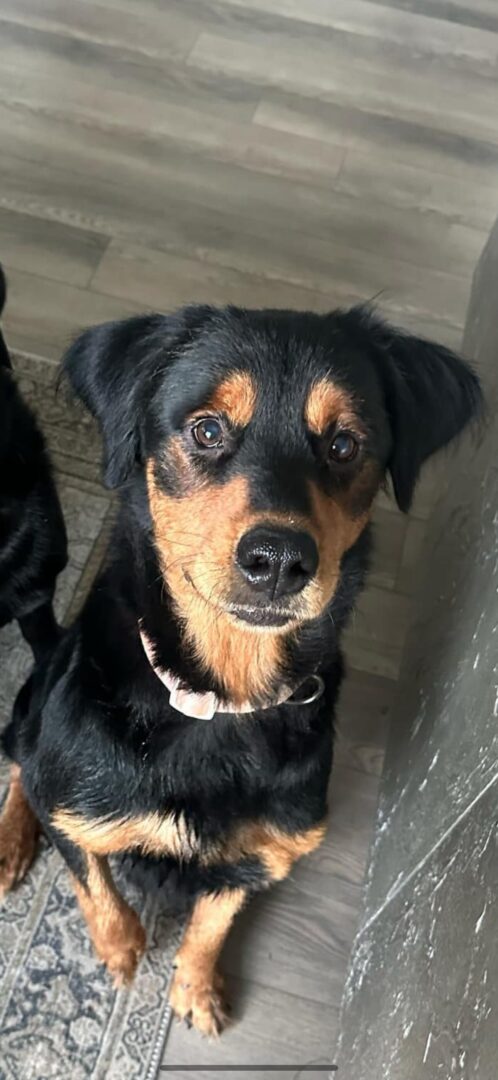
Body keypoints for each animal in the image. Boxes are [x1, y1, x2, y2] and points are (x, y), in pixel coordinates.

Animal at [0, 304, 481, 1036]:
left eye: (345, 445)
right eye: (207, 429)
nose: (279, 559)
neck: (217, 696)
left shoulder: (265, 854)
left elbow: (212, 924)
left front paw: (196, 989)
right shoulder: (74, 804)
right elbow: (97, 886)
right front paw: (121, 949)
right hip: (34, 704)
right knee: (18, 761)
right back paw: (9, 843)